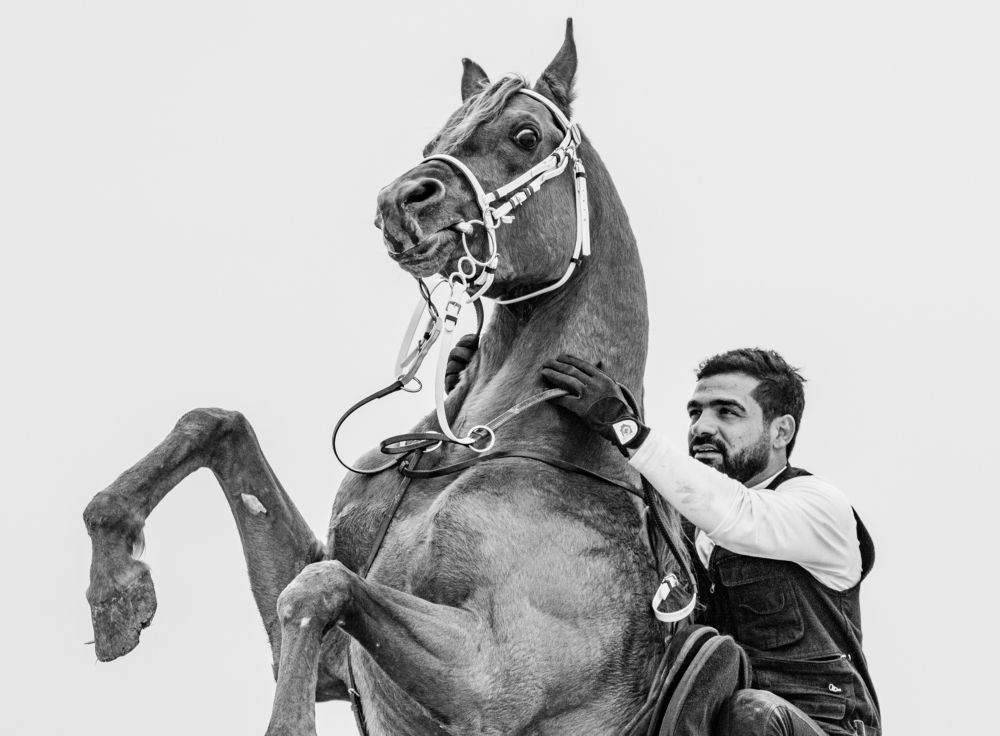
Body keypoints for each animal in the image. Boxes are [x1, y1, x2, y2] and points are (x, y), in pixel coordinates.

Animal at [82, 20, 689, 735]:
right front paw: (117, 592)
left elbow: (320, 588)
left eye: (526, 136)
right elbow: (217, 427)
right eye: (434, 142)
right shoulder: (336, 660)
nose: (400, 201)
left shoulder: (493, 679)